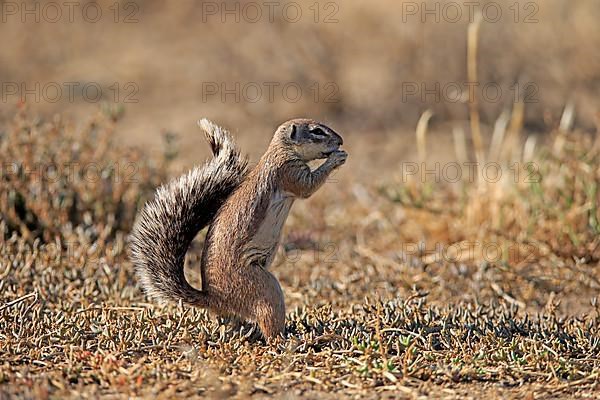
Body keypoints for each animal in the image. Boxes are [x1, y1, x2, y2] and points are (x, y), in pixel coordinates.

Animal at [131, 117, 346, 340]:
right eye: (317, 131)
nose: (340, 141)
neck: (281, 151)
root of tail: (214, 298)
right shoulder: (290, 172)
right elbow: (308, 187)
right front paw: (337, 158)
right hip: (265, 289)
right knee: (270, 326)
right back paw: (289, 339)